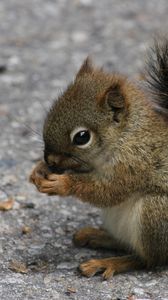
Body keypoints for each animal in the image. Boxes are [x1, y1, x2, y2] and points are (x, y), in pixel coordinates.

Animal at [29, 39, 168, 278]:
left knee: (148, 260)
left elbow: (108, 191)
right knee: (125, 243)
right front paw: (39, 171)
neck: (126, 136)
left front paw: (62, 184)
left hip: (156, 214)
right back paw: (97, 236)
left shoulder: (134, 164)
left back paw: (110, 263)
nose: (50, 160)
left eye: (82, 137)